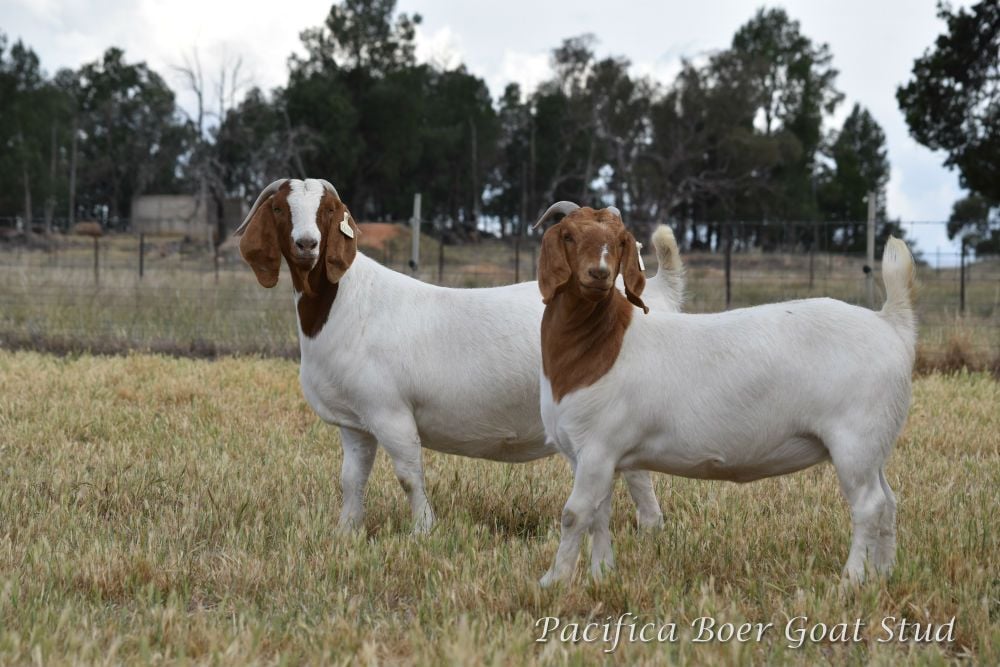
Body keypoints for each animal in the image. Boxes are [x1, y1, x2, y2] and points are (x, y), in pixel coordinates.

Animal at [234, 180, 686, 534]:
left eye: (328, 210)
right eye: (279, 208)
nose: (306, 244)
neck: (347, 302)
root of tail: (652, 295)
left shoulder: (390, 411)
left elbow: (408, 475)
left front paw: (422, 531)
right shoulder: (356, 421)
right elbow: (351, 479)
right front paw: (347, 532)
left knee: (637, 474)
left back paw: (648, 529)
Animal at [533, 203, 916, 587]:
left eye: (619, 241)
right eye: (568, 235)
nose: (599, 273)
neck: (599, 345)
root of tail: (890, 322)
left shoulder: (598, 446)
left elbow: (574, 514)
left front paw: (552, 581)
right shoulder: (591, 456)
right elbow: (599, 515)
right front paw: (601, 575)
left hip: (855, 437)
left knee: (869, 505)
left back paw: (850, 580)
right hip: (875, 441)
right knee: (889, 502)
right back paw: (883, 573)